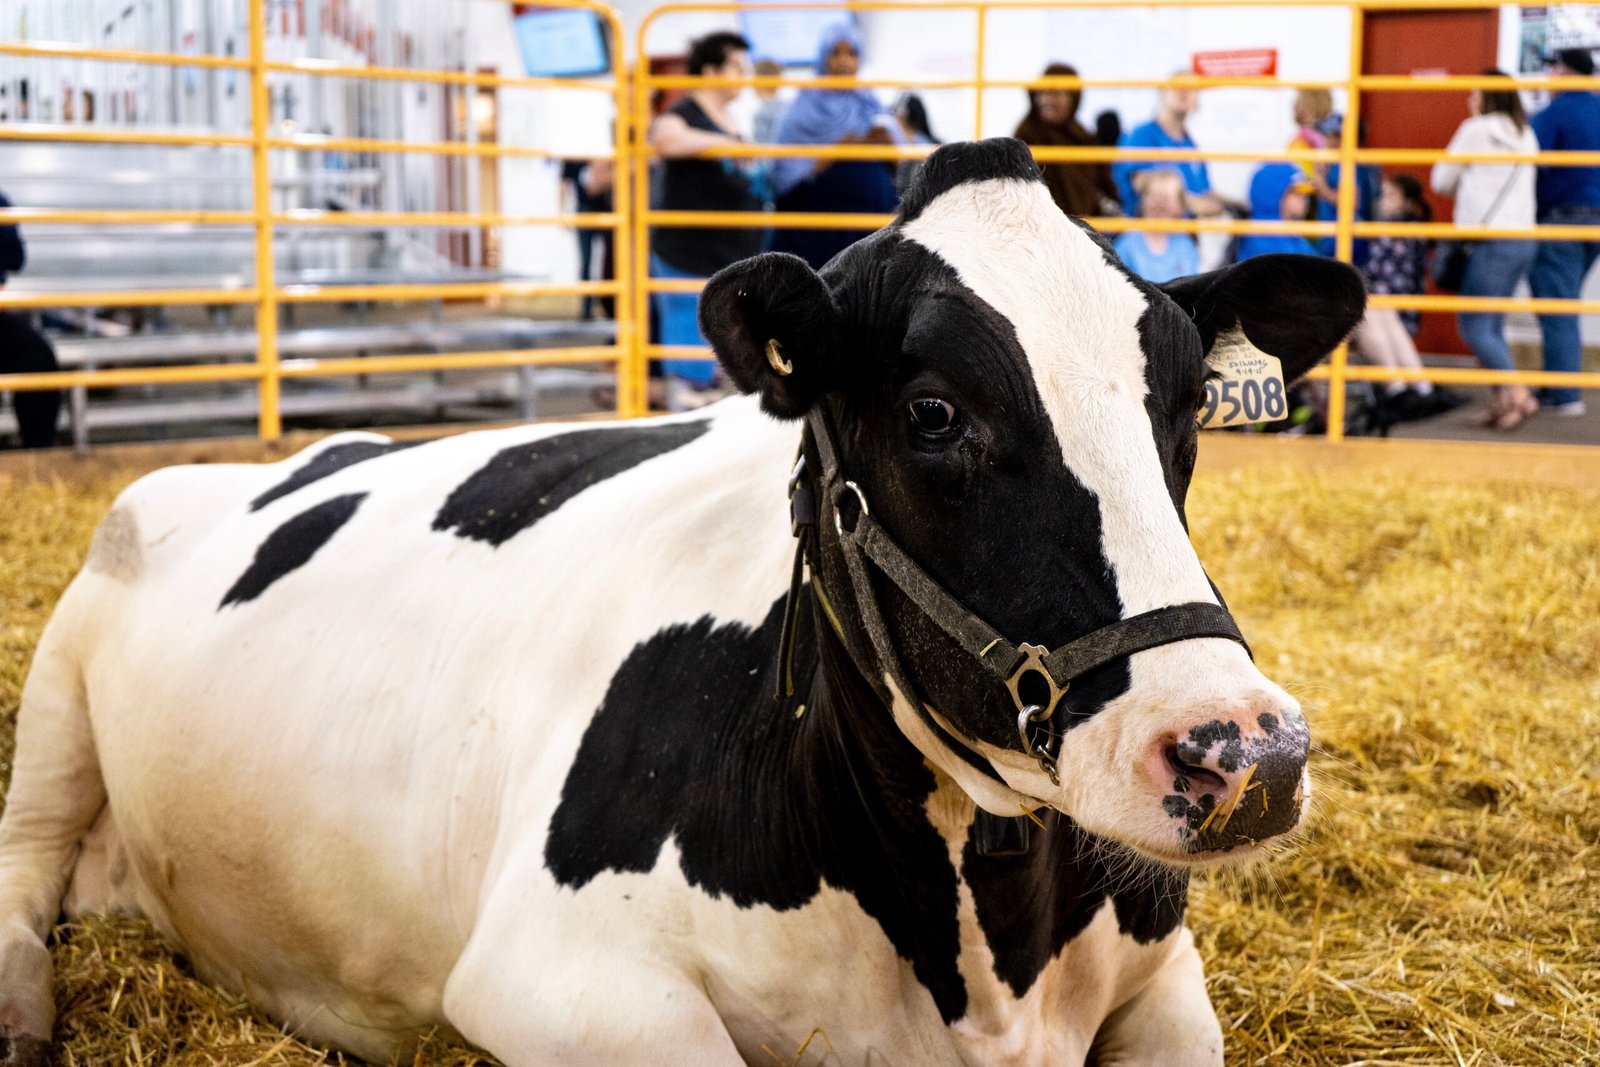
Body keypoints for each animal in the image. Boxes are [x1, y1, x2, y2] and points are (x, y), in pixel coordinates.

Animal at [0, 139, 1363, 1066]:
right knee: (22, 866)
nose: (1241, 750)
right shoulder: (556, 976)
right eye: (932, 412)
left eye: (1188, 404)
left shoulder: (1163, 974)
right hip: (65, 665)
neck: (983, 964)